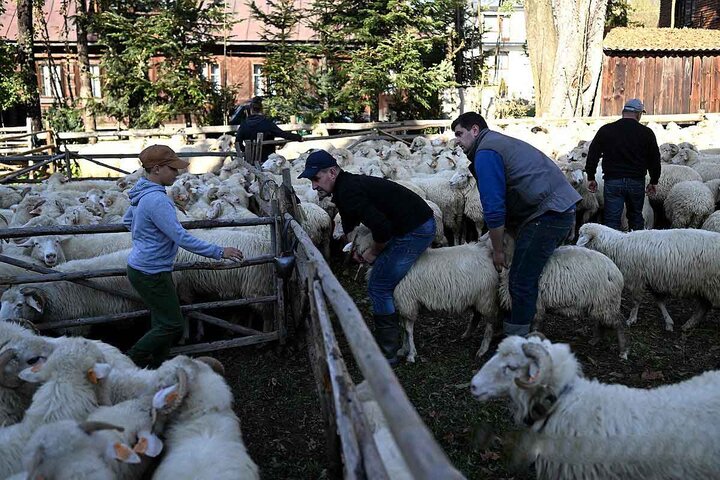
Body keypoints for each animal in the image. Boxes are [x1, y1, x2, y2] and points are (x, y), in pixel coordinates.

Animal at [576, 223, 720, 332]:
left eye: (581, 235)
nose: (575, 247)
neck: (617, 246)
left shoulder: (637, 279)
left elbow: (636, 301)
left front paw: (631, 319)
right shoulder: (652, 279)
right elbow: (659, 302)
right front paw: (668, 322)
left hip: (712, 285)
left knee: (704, 306)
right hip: (704, 285)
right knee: (704, 306)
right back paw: (689, 324)